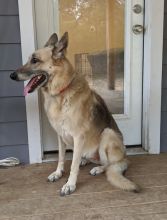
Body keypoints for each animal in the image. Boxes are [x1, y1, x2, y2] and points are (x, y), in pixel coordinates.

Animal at [10, 32, 140, 196]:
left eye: (35, 60)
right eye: (29, 59)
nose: (11, 75)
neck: (61, 92)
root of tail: (125, 158)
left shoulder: (78, 137)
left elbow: (73, 165)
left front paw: (69, 184)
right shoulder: (60, 136)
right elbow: (61, 157)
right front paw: (58, 173)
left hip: (107, 134)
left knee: (108, 165)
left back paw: (98, 168)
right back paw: (85, 160)